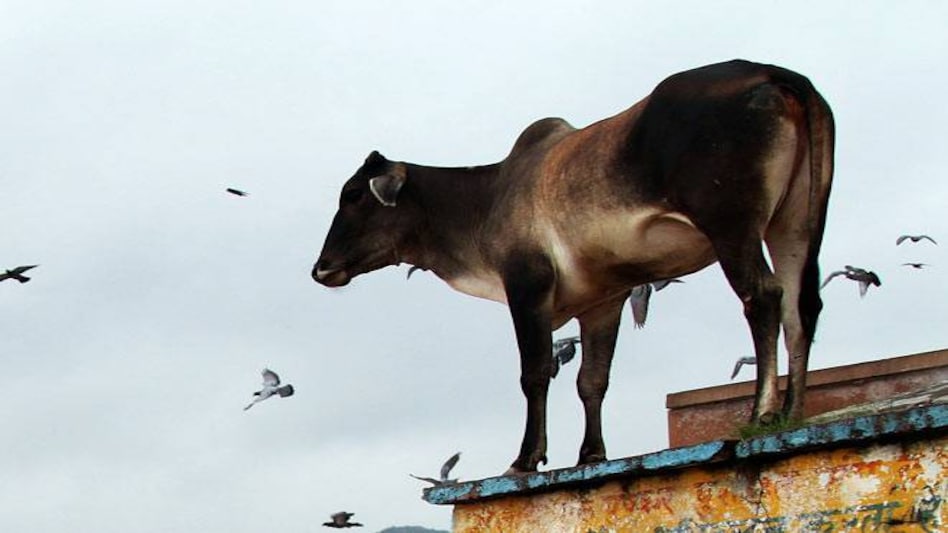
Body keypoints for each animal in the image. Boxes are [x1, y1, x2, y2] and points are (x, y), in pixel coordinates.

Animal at [313, 59, 835, 474]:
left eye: (354, 194)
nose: (321, 268)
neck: (485, 199)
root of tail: (773, 72)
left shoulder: (527, 285)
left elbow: (535, 372)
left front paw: (526, 458)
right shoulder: (605, 300)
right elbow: (592, 381)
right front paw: (591, 455)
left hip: (732, 225)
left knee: (763, 297)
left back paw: (761, 413)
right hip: (795, 223)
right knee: (800, 307)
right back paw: (793, 411)